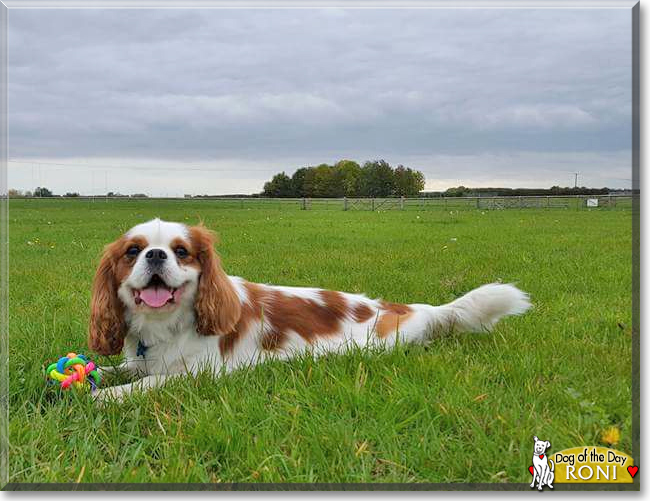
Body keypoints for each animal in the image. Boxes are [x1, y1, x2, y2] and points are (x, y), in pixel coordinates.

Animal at [88, 217, 528, 400]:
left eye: (182, 252)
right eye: (133, 251)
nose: (157, 255)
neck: (167, 324)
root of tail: (404, 307)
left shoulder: (203, 373)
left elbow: (148, 384)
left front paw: (103, 398)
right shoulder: (143, 361)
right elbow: (117, 369)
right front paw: (96, 381)